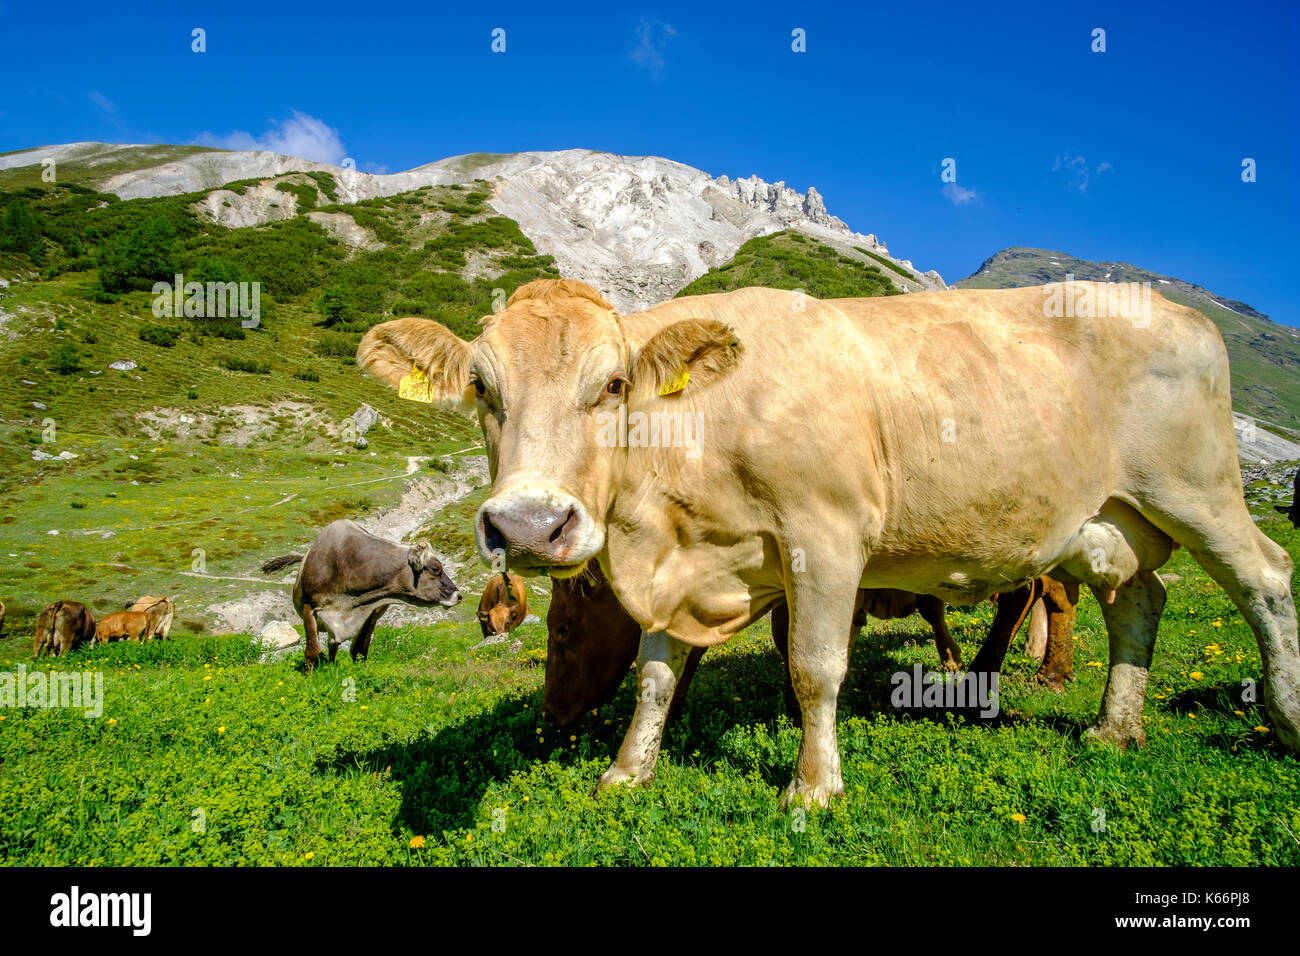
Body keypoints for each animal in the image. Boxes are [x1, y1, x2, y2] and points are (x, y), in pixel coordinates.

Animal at [260, 519, 461, 670]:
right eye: (435, 568)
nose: (458, 595)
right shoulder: (309, 607)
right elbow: (312, 651)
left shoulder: (370, 612)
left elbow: (359, 650)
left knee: (334, 645)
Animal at [358, 278, 1300, 807]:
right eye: (482, 388)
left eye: (615, 384)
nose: (526, 524)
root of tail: (1175, 310)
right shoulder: (677, 568)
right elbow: (657, 677)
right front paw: (628, 772)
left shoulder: (828, 536)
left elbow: (815, 670)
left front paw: (813, 787)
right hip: (1113, 518)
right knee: (1139, 599)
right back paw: (1115, 727)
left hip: (1198, 490)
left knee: (1266, 577)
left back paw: (1285, 720)